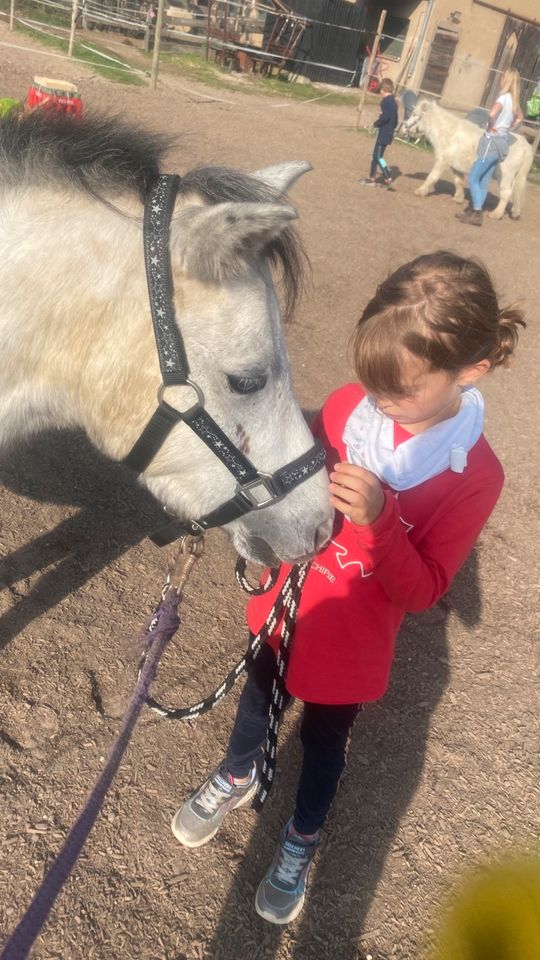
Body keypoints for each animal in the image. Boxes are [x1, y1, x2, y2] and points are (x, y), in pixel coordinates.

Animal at [400, 101, 532, 221]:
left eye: (414, 114)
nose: (402, 129)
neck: (450, 134)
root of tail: (526, 146)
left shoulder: (442, 162)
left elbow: (432, 177)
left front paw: (421, 191)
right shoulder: (455, 166)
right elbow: (458, 181)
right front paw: (458, 198)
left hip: (505, 177)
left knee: (507, 193)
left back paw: (496, 214)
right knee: (515, 194)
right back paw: (515, 213)